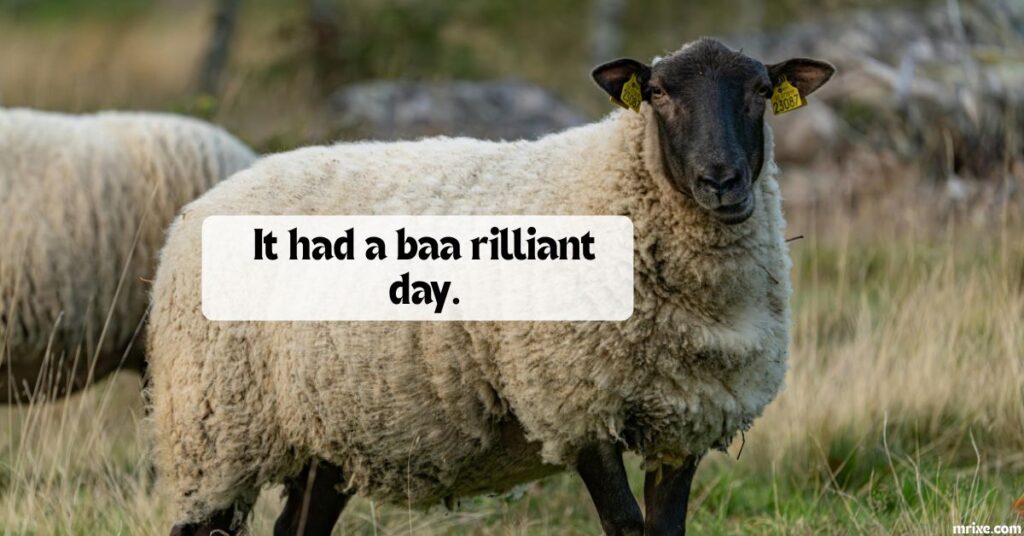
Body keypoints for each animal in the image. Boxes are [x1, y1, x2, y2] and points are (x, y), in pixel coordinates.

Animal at [149, 38, 835, 536]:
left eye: (762, 91)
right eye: (659, 93)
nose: (722, 181)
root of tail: (203, 203)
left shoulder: (684, 415)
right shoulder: (574, 403)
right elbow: (625, 526)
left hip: (325, 435)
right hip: (212, 427)